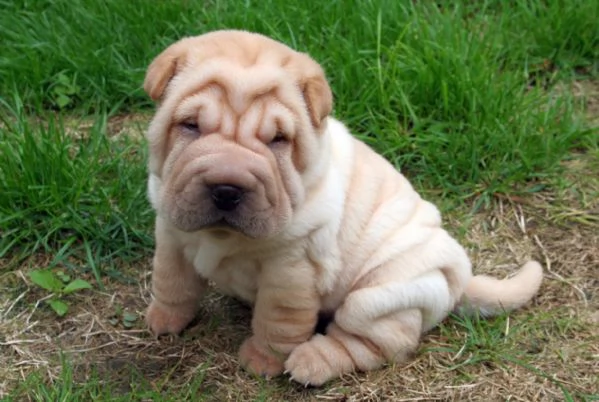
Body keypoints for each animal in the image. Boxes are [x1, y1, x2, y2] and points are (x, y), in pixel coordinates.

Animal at [142, 29, 544, 386]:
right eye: (190, 126)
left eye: (278, 140)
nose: (227, 189)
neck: (221, 236)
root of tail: (460, 277)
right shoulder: (171, 232)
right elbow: (172, 281)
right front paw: (163, 319)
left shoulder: (290, 271)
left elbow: (277, 321)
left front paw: (262, 361)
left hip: (377, 298)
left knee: (370, 343)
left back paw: (311, 361)